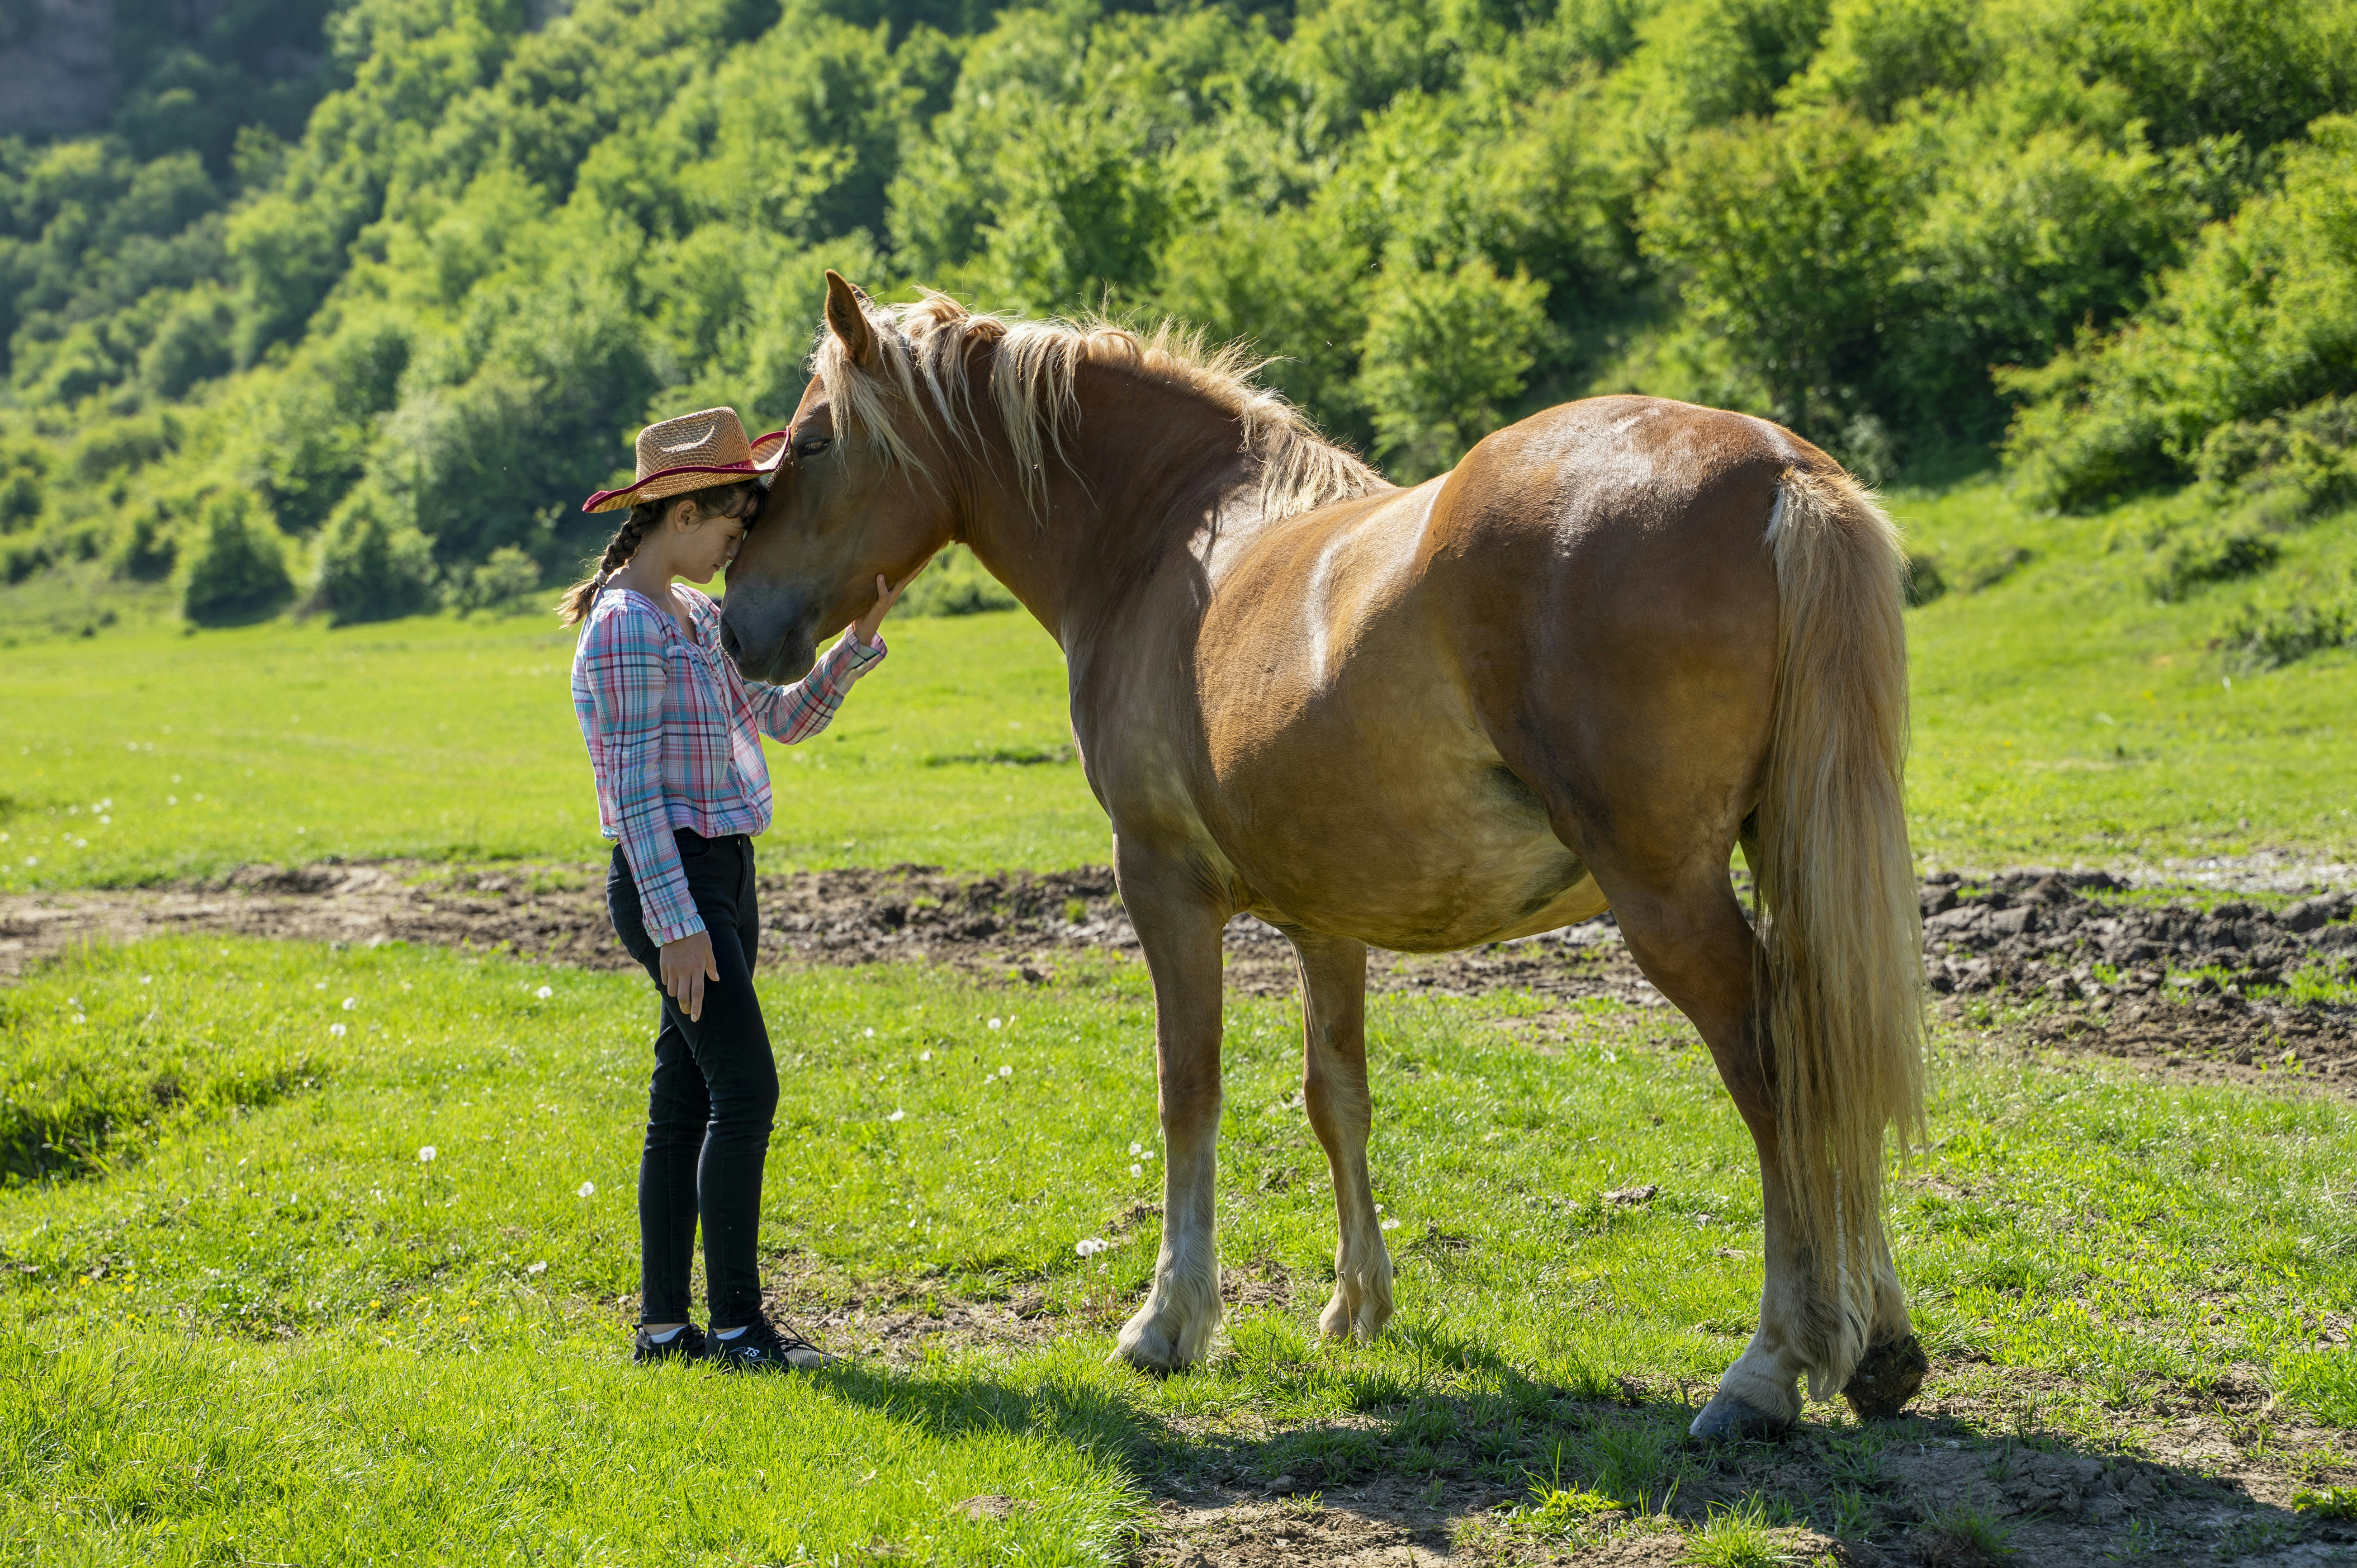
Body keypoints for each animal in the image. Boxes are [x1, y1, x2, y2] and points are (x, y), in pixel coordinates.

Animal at [719, 272, 1930, 1438]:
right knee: (1830, 1047)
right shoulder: (1326, 919)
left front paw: (1169, 1319)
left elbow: (1189, 1088)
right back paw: (1878, 1344)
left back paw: (1768, 1368)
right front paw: (1357, 1304)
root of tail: (1776, 469)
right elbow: (1333, 1095)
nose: (735, 628)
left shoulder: (1162, 886)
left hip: (1667, 897)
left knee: (1777, 1072)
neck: (1158, 536)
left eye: (812, 440)